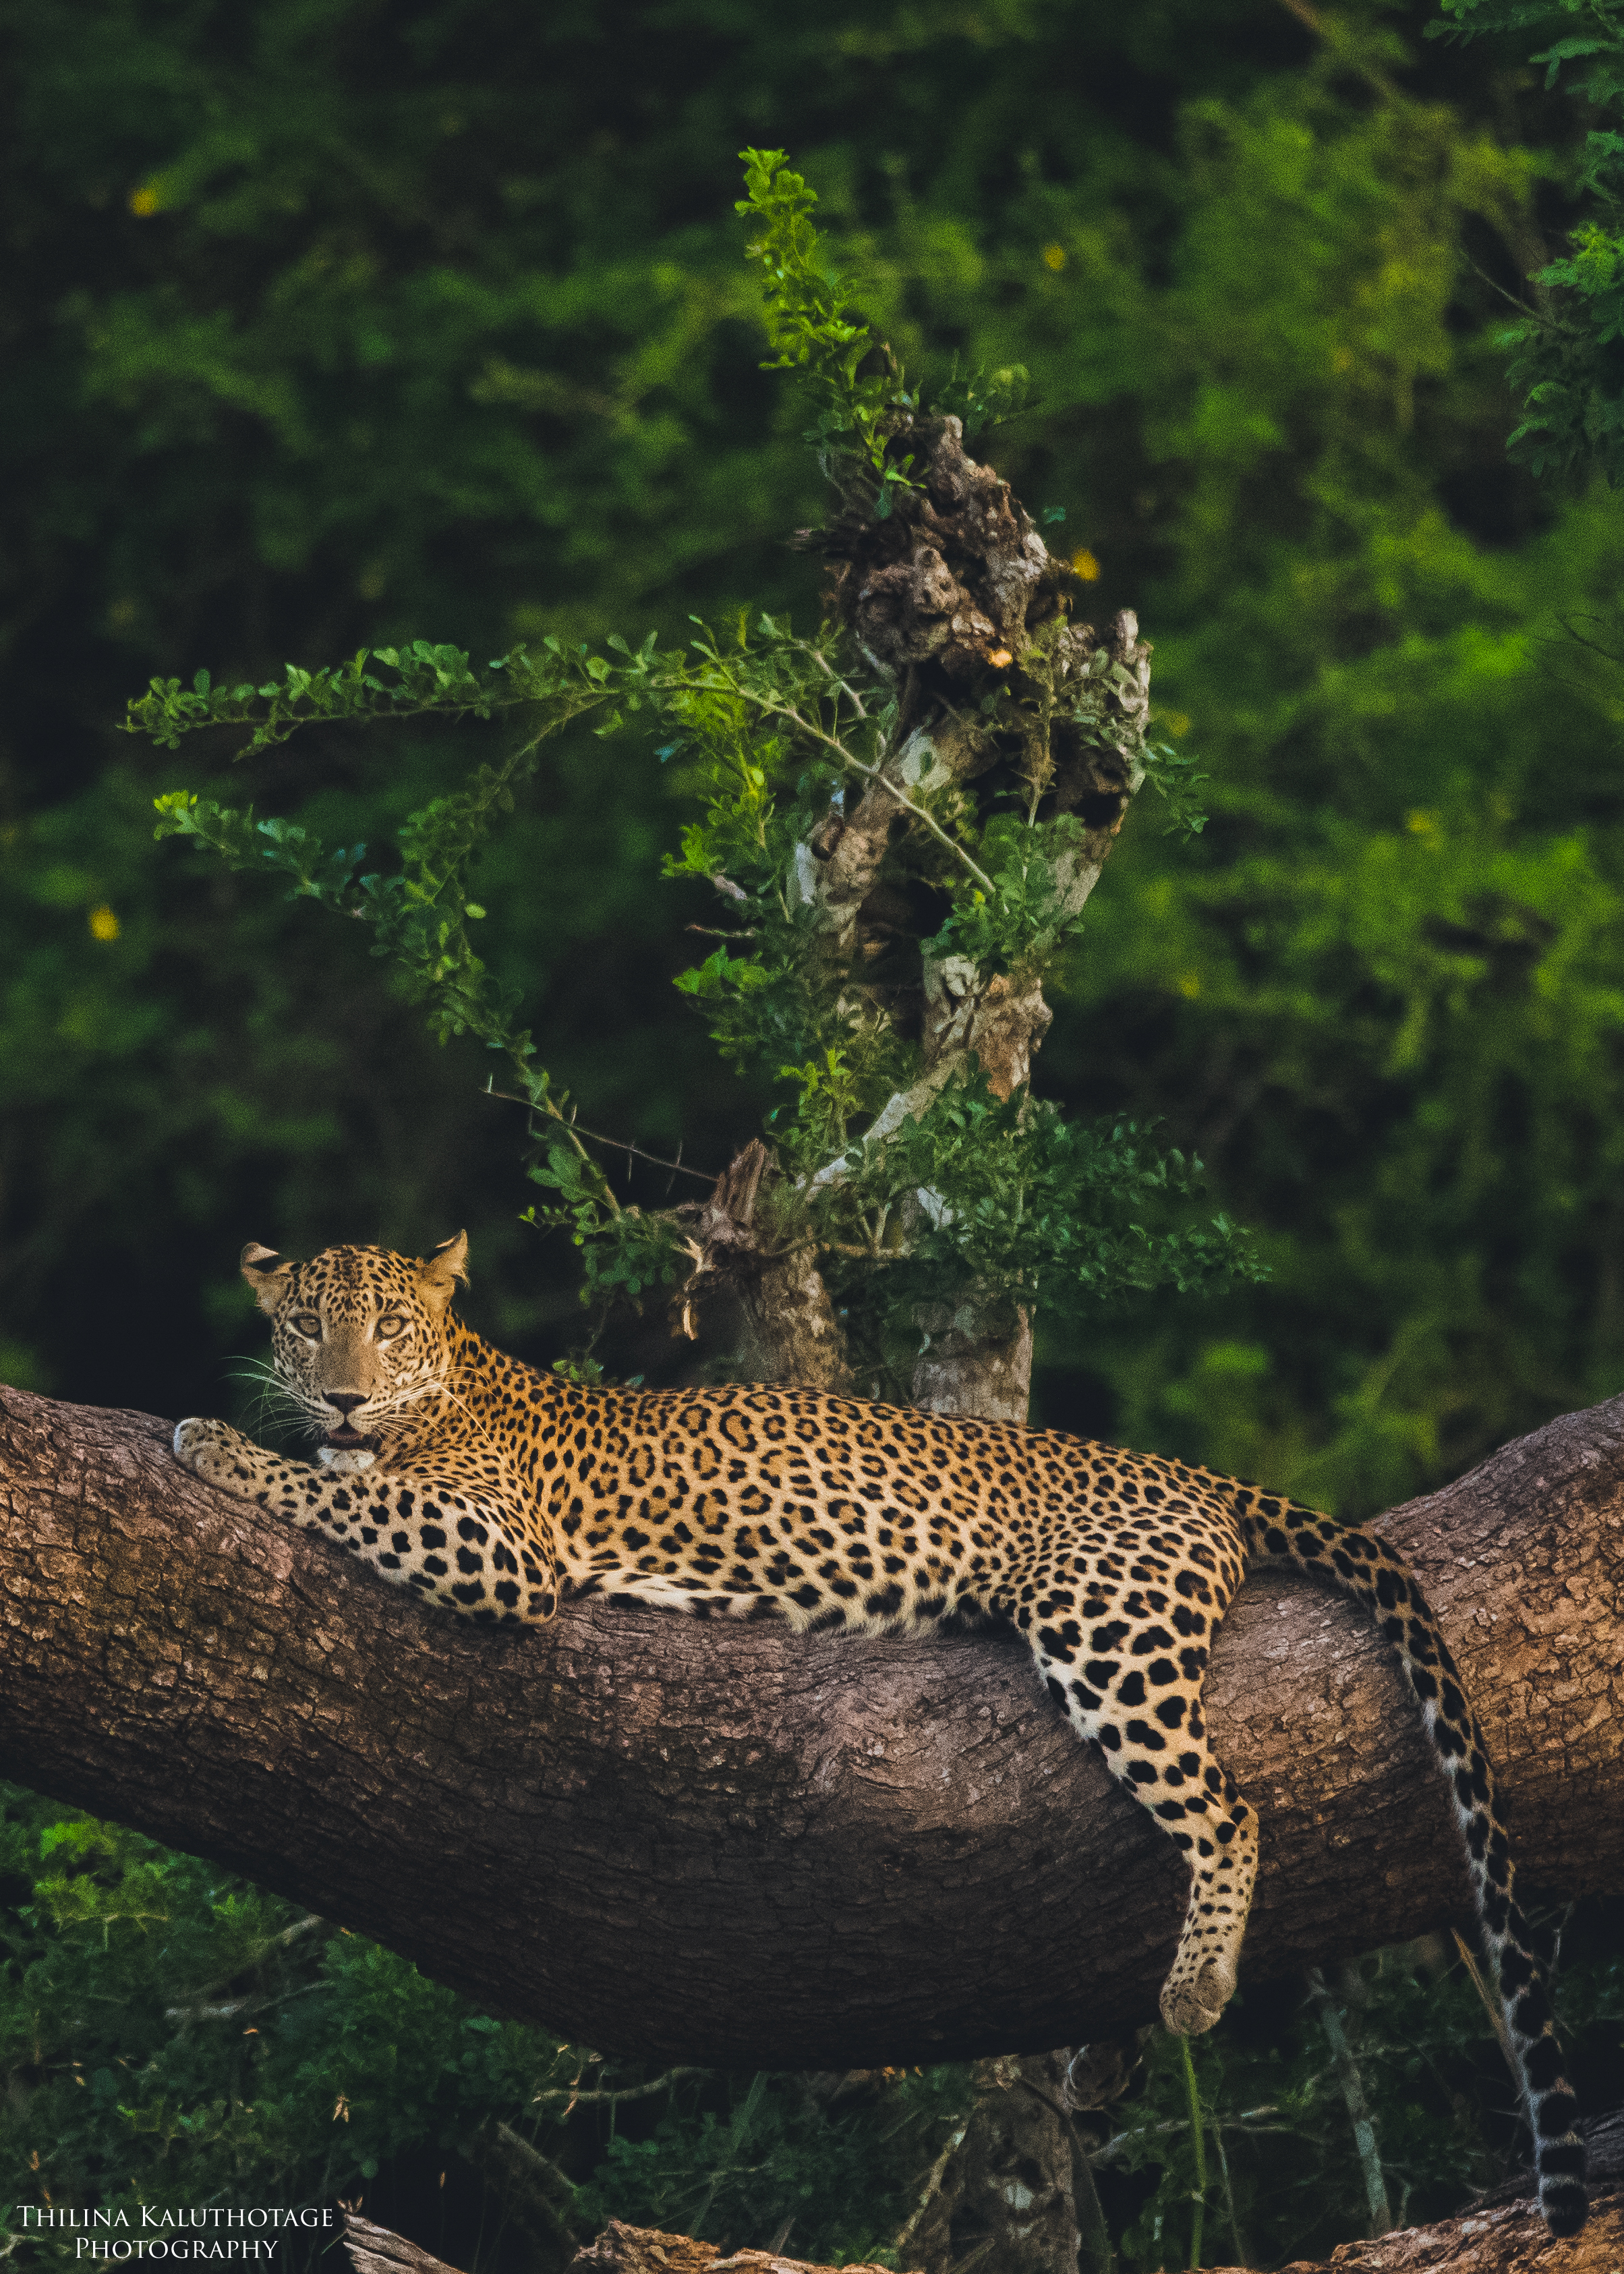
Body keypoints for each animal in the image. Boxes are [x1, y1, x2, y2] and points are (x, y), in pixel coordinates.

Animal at [173, 1231, 1587, 2236]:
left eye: (387, 1327)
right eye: (305, 1325)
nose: (343, 1398)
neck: (447, 1382)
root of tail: (1188, 1475)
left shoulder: (495, 1545)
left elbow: (341, 1495)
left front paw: (216, 1444)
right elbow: (342, 1484)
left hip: (1104, 1625)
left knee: (1228, 1805)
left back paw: (1189, 1992)